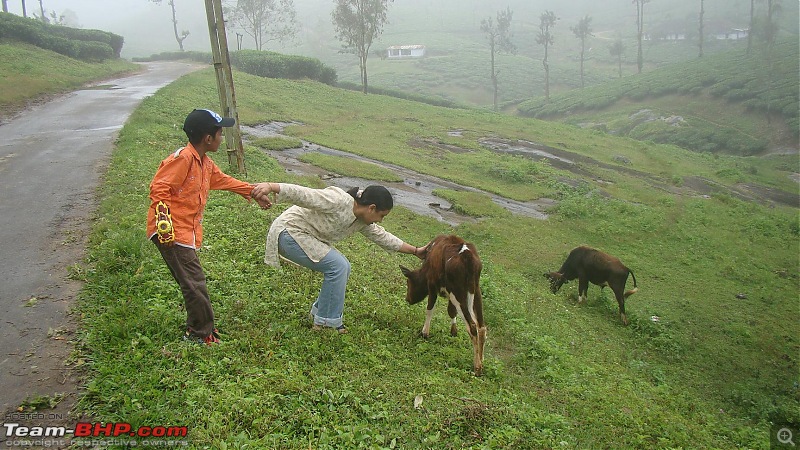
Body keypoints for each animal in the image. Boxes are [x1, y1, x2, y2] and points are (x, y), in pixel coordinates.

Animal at [400, 236, 488, 376]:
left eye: (408, 282)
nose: (407, 299)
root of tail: (467, 255)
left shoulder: (432, 285)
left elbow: (430, 309)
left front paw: (424, 333)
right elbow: (451, 311)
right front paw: (453, 331)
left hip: (458, 293)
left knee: (472, 326)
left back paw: (477, 368)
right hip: (475, 290)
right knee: (482, 327)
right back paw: (481, 358)